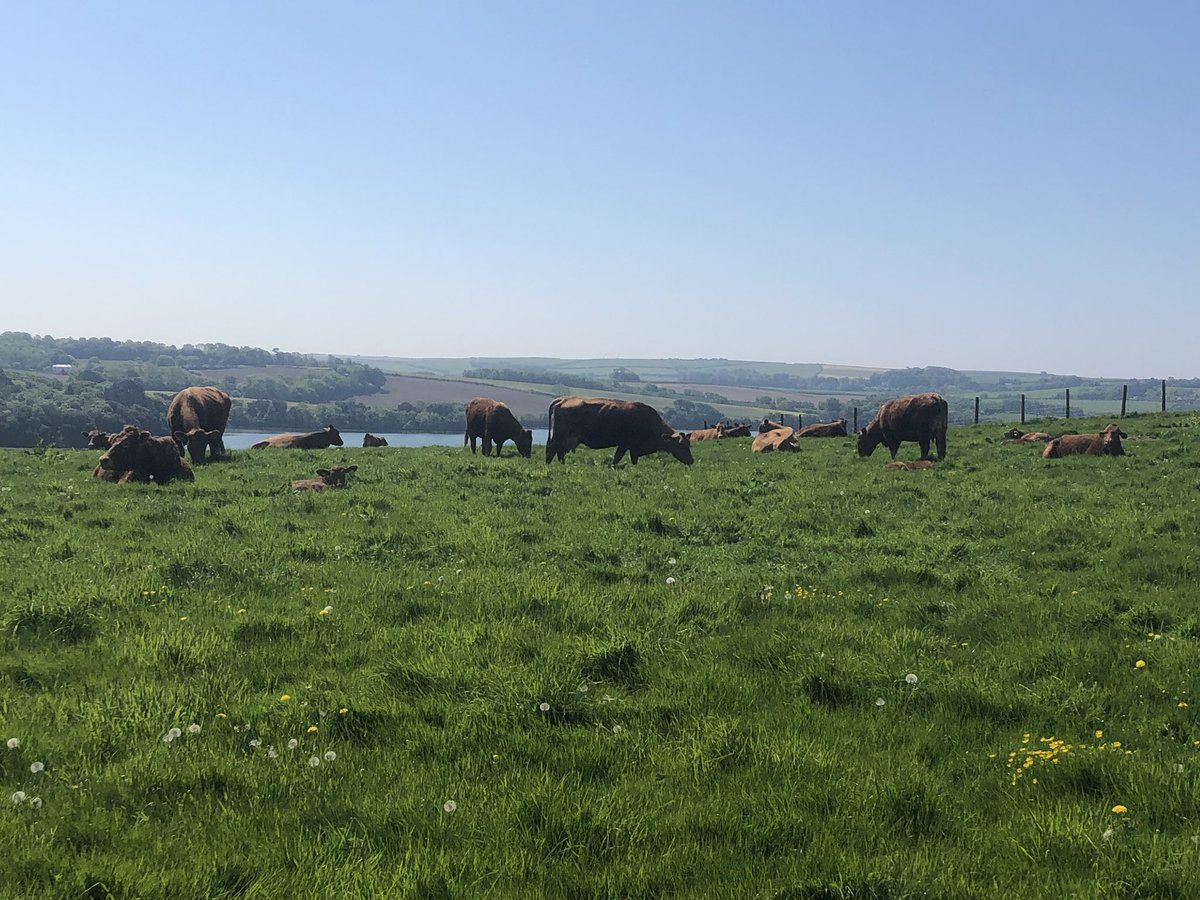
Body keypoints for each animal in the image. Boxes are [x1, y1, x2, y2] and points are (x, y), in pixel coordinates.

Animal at [545, 396, 693, 466]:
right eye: (680, 445)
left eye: (689, 444)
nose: (691, 460)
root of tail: (563, 399)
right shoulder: (627, 444)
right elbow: (618, 459)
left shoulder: (632, 447)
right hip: (559, 435)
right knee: (552, 449)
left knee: (560, 452)